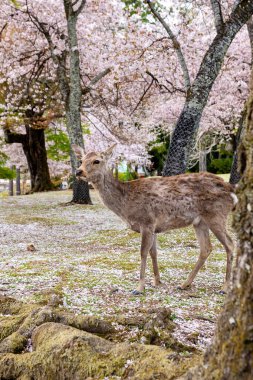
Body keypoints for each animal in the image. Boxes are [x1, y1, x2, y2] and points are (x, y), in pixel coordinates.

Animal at [72, 144, 236, 296]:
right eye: (81, 160)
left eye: (96, 161)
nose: (78, 171)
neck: (126, 203)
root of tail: (232, 191)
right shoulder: (154, 227)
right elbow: (153, 252)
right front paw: (156, 281)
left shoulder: (147, 221)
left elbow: (143, 252)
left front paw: (139, 288)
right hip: (200, 222)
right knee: (206, 248)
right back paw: (185, 284)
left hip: (216, 215)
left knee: (230, 244)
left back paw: (225, 287)